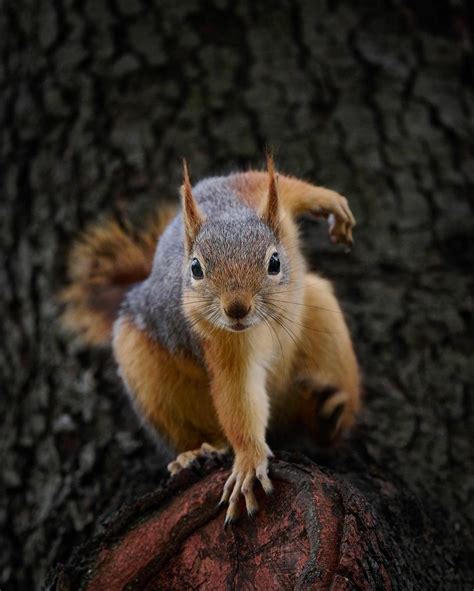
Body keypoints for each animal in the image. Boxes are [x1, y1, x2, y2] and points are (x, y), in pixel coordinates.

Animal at [61, 157, 362, 528]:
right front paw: (249, 458)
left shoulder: (247, 192)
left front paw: (330, 202)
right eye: (195, 269)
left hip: (322, 321)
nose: (236, 309)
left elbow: (279, 183)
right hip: (145, 372)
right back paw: (197, 452)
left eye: (275, 262)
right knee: (195, 433)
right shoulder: (219, 342)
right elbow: (236, 392)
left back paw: (326, 417)